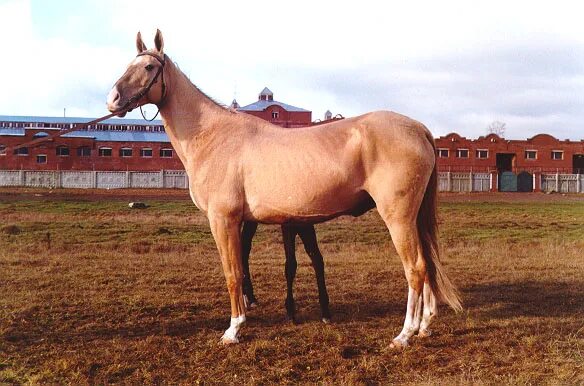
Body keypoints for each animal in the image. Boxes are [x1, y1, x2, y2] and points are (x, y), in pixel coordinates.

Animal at [105, 30, 460, 348]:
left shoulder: (223, 220)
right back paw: (425, 326)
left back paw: (405, 335)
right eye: (129, 64)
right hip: (413, 218)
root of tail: (418, 128)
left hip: (398, 217)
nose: (112, 100)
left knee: (415, 268)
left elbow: (233, 273)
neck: (213, 136)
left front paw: (233, 330)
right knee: (427, 263)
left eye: (148, 67)